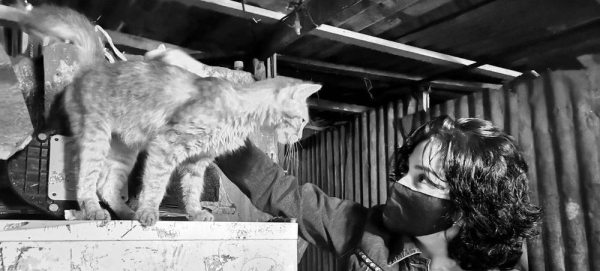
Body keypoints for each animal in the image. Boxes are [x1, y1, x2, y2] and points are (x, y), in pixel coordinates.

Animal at [18, 5, 322, 227]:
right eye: (303, 120)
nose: (299, 137)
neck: (240, 110)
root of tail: (95, 66)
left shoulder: (197, 161)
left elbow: (192, 191)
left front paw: (195, 213)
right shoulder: (166, 145)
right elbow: (156, 184)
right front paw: (149, 211)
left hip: (124, 149)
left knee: (107, 186)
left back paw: (126, 213)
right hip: (96, 138)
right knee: (87, 181)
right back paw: (94, 210)